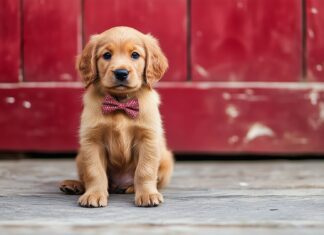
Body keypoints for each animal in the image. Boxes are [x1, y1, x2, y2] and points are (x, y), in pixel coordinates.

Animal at [59, 26, 173, 207]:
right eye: (106, 55)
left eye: (135, 55)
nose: (121, 73)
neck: (120, 102)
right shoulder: (92, 140)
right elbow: (94, 171)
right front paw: (94, 194)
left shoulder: (148, 138)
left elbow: (145, 170)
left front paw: (147, 194)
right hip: (80, 156)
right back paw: (74, 185)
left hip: (166, 159)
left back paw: (130, 188)